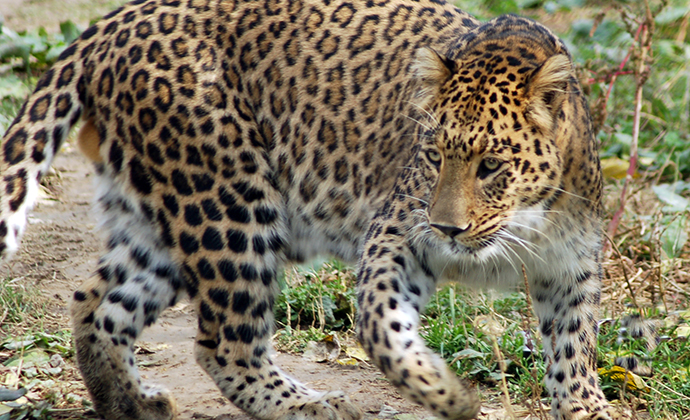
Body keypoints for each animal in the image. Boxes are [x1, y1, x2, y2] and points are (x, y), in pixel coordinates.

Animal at [0, 0, 612, 418]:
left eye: (491, 165)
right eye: (434, 154)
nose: (448, 228)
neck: (525, 223)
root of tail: (115, 21)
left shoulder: (570, 269)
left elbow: (574, 350)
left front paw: (586, 407)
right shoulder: (396, 236)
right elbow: (381, 326)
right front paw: (448, 395)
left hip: (158, 221)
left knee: (96, 303)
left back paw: (129, 404)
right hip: (230, 204)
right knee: (223, 343)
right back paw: (308, 404)